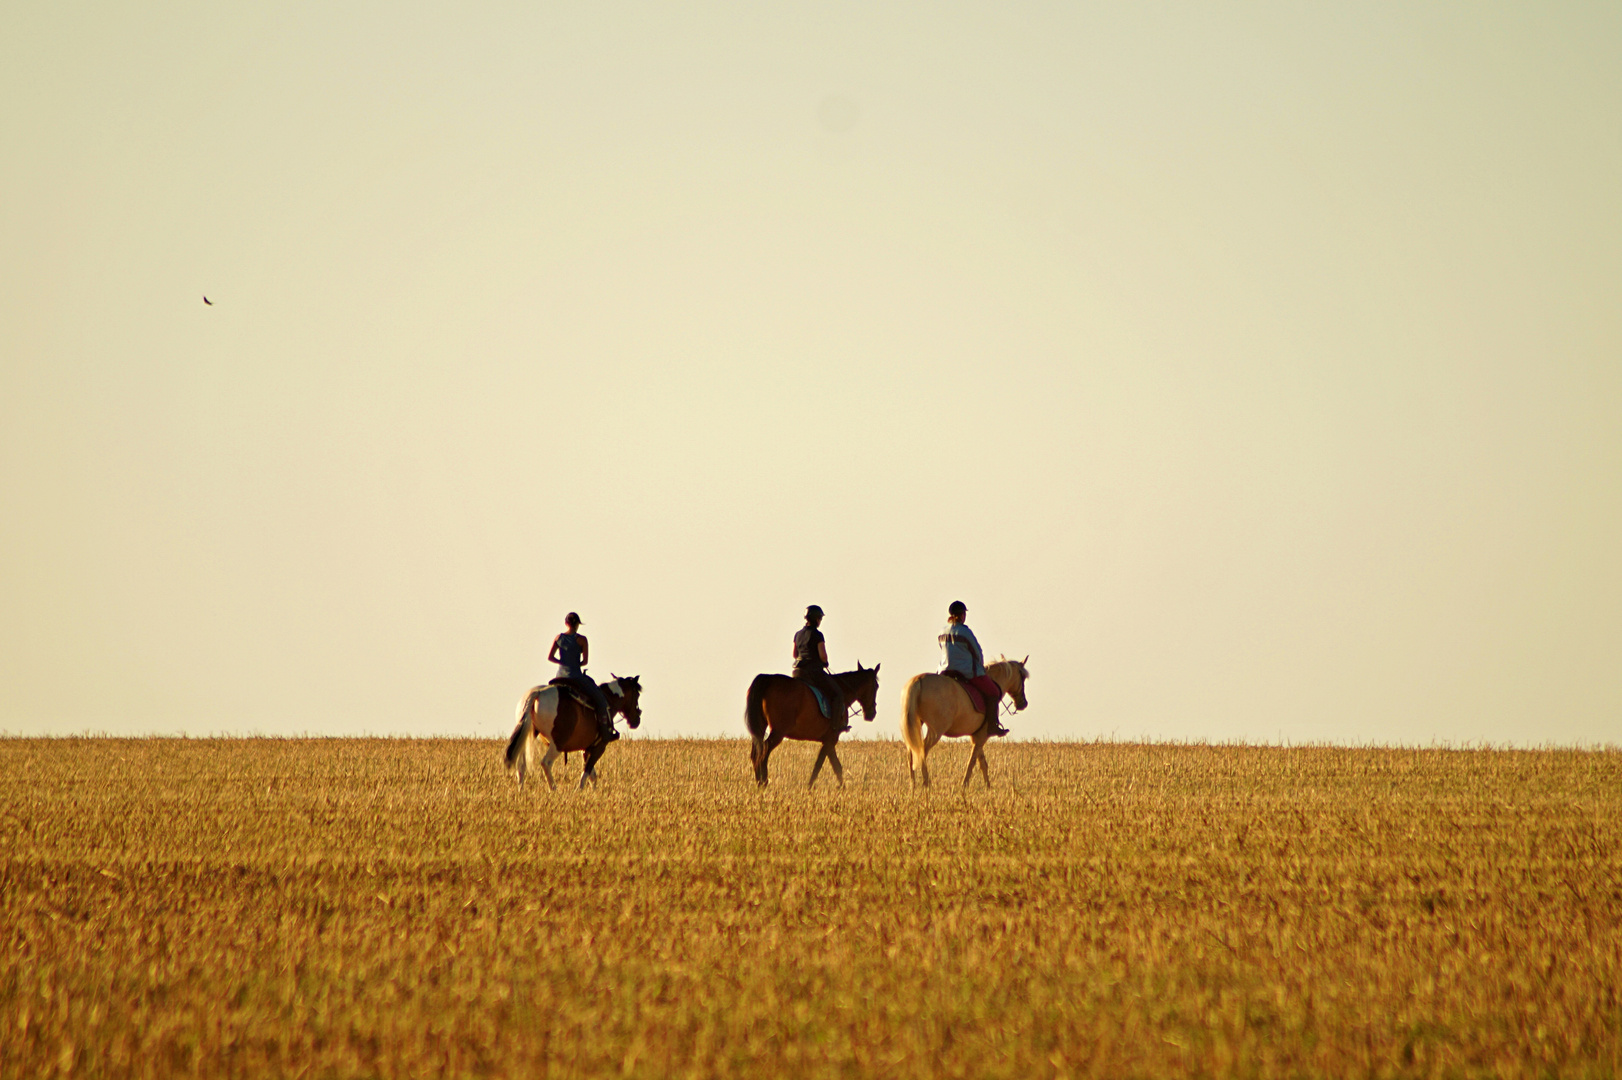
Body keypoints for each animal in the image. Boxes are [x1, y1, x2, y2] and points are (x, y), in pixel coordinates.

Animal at [502, 674, 642, 791]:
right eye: (637, 695)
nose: (637, 720)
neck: (608, 701)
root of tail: (538, 693)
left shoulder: (585, 749)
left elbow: (592, 775)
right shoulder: (599, 747)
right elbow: (586, 771)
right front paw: (579, 791)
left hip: (526, 738)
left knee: (521, 766)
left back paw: (521, 791)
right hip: (558, 744)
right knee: (546, 763)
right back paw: (554, 789)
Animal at [742, 661, 882, 788]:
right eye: (876, 686)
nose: (872, 714)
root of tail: (768, 679)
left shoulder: (828, 740)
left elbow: (836, 766)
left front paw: (841, 788)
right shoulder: (831, 738)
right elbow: (821, 765)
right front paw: (810, 788)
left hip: (761, 728)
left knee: (755, 754)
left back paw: (759, 784)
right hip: (778, 732)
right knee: (763, 753)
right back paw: (764, 783)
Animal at [901, 651, 1025, 788]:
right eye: (1023, 677)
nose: (1023, 704)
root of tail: (919, 679)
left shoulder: (977, 736)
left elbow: (982, 762)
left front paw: (988, 787)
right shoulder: (981, 736)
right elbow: (972, 762)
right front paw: (964, 785)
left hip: (914, 725)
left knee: (912, 751)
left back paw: (913, 784)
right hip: (936, 730)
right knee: (922, 750)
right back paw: (926, 783)